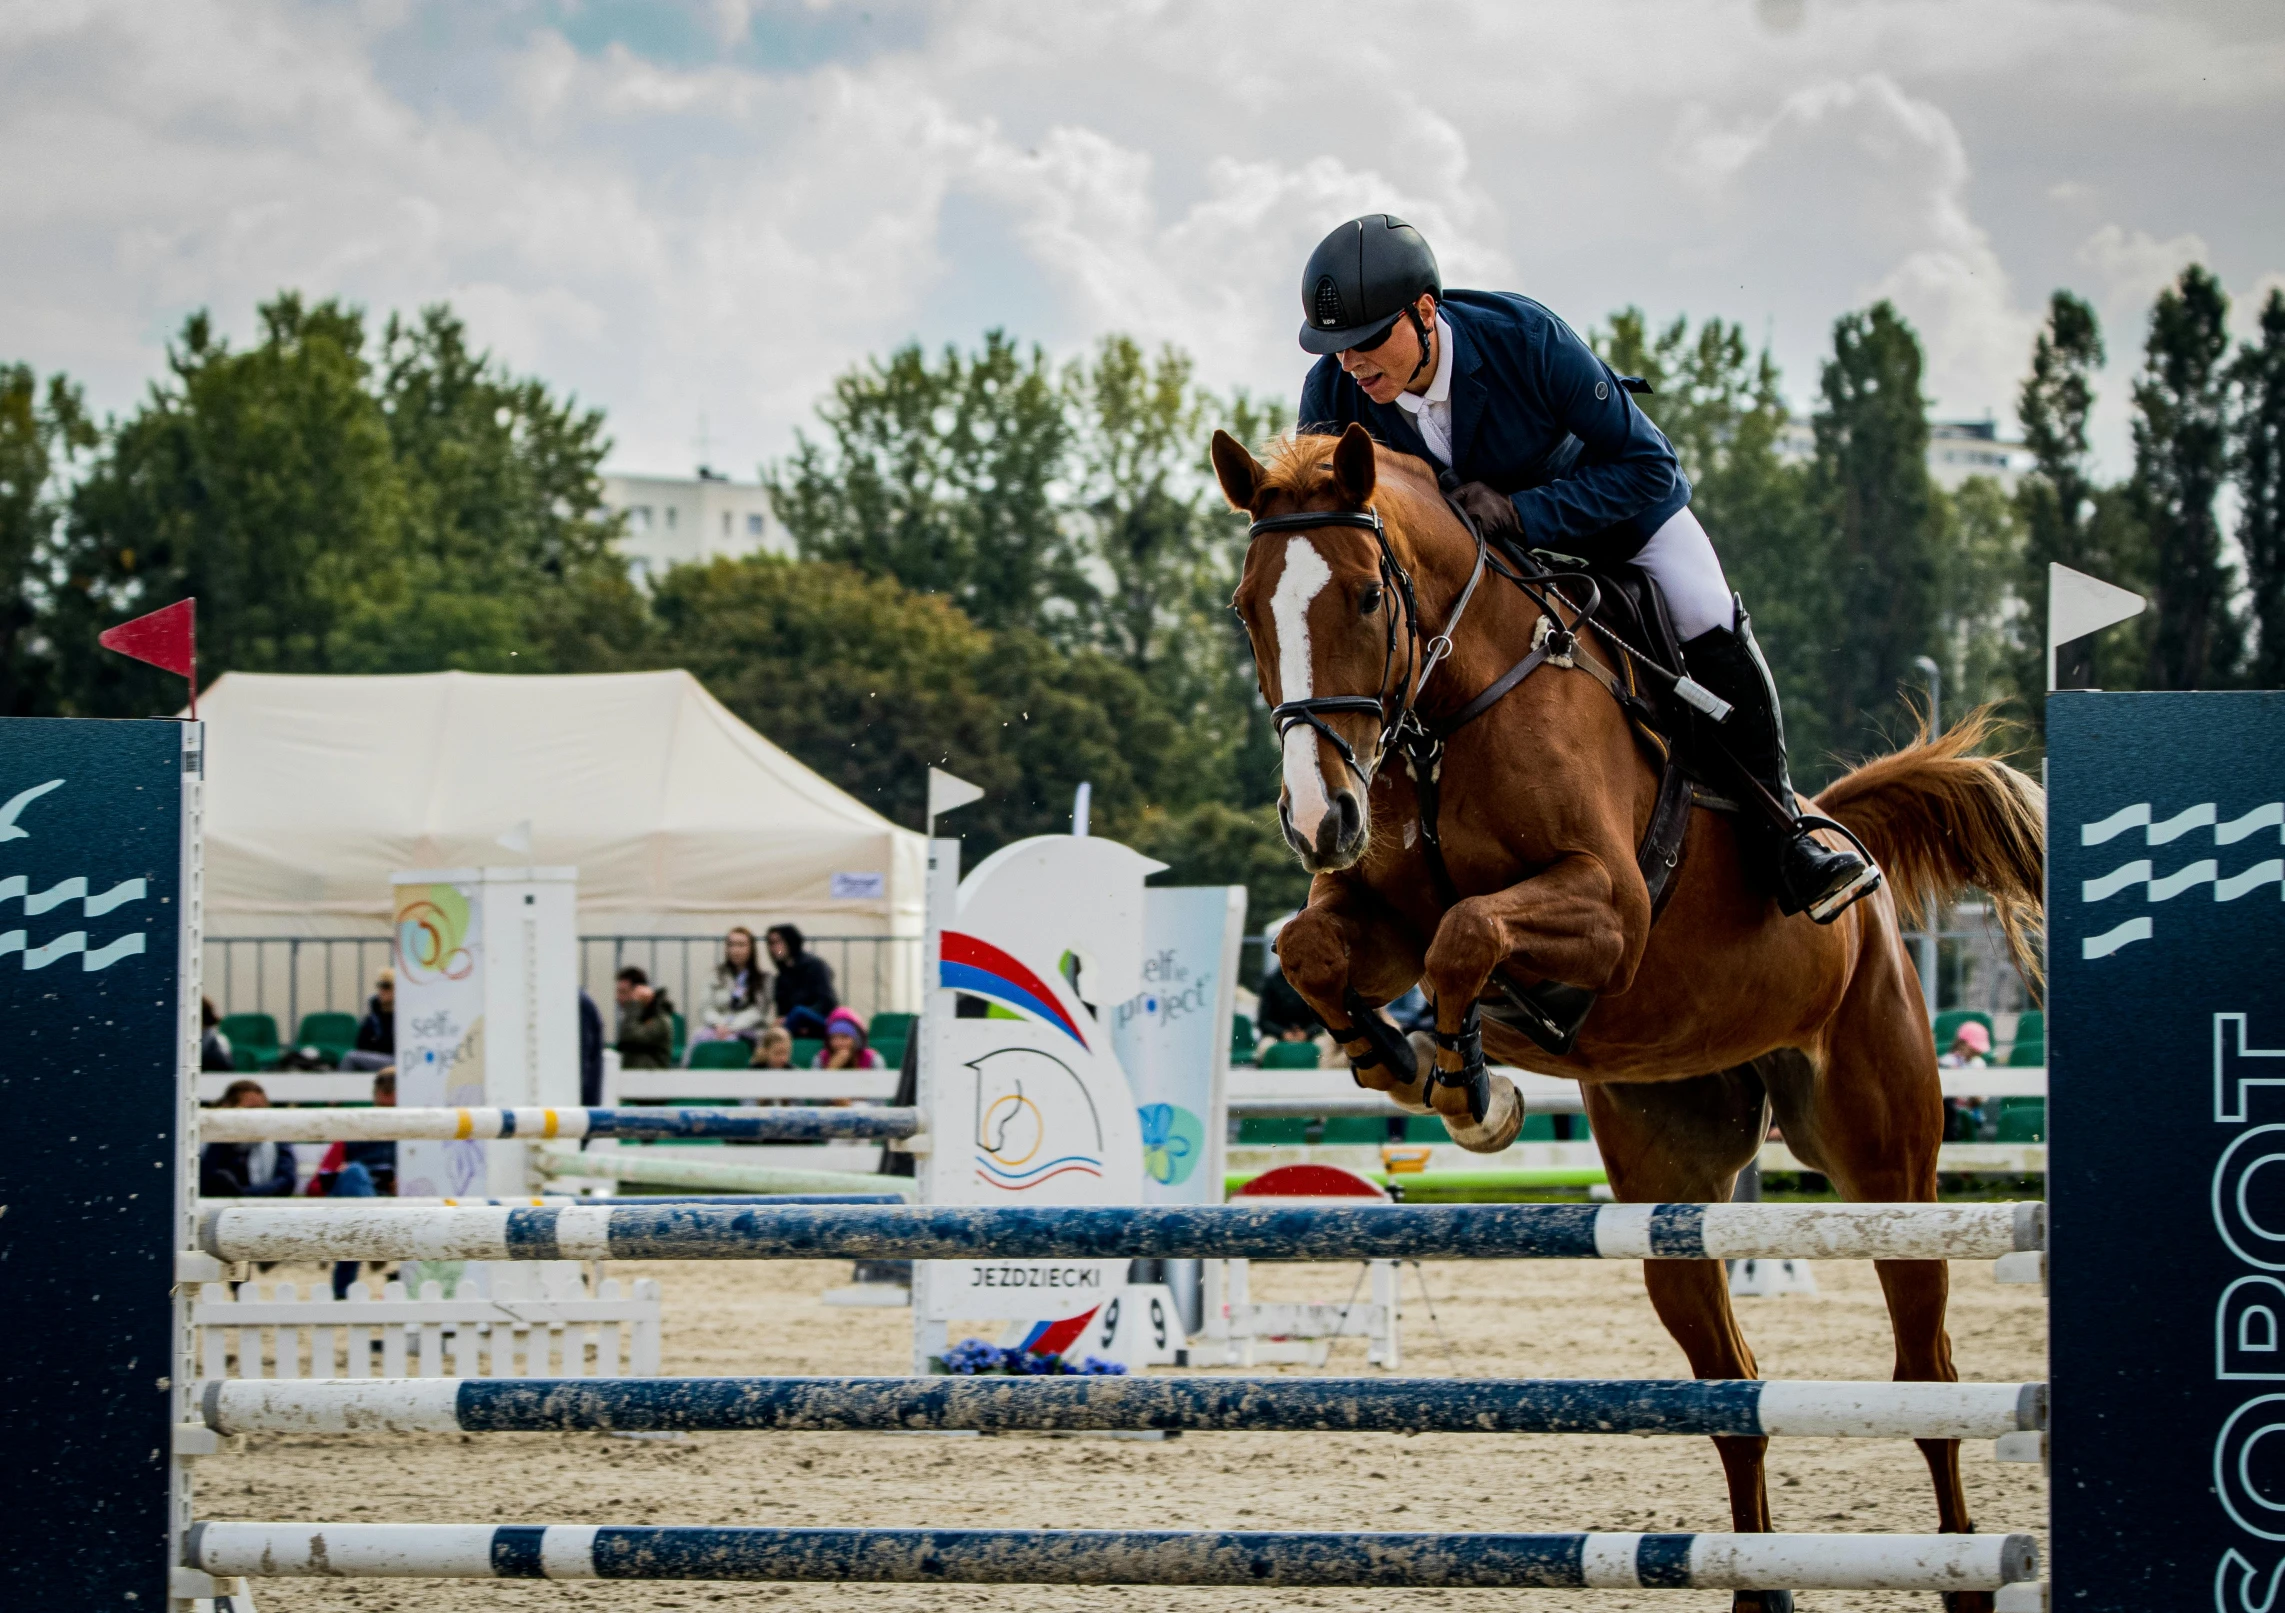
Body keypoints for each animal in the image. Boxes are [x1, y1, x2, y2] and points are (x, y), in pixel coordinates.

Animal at [1224, 424, 2047, 1608]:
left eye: (1368, 598)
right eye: (1248, 607)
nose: (1315, 817)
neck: (1445, 715)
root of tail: (1860, 867)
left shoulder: (1607, 912)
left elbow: (1465, 933)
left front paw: (1467, 1084)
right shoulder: (1375, 911)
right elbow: (1315, 949)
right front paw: (1400, 1056)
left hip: (1885, 1158)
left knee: (1924, 1374)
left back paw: (1961, 1570)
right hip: (1672, 1187)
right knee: (1734, 1389)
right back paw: (1756, 1583)